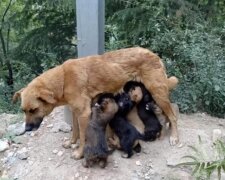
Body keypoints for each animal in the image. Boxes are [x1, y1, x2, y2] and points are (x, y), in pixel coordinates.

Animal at [13, 47, 179, 159]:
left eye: (33, 109)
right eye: (23, 110)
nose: (27, 129)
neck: (63, 80)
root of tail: (154, 54)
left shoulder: (84, 114)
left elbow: (83, 136)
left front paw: (79, 153)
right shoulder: (75, 112)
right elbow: (75, 131)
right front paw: (71, 143)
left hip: (158, 93)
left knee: (173, 116)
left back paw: (174, 137)